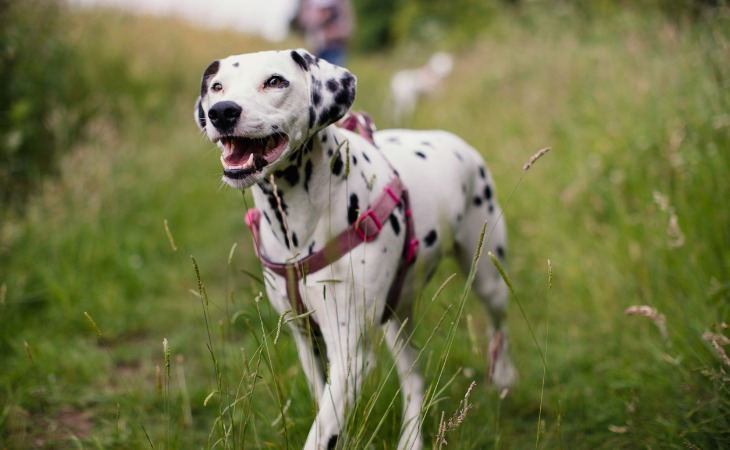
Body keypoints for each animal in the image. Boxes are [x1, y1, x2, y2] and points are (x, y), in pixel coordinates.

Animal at [193, 49, 512, 450]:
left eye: (275, 81)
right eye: (217, 87)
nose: (222, 111)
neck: (298, 226)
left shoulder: (351, 355)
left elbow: (320, 432)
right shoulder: (307, 341)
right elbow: (325, 411)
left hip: (488, 278)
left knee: (499, 327)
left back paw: (503, 376)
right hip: (396, 315)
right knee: (413, 377)